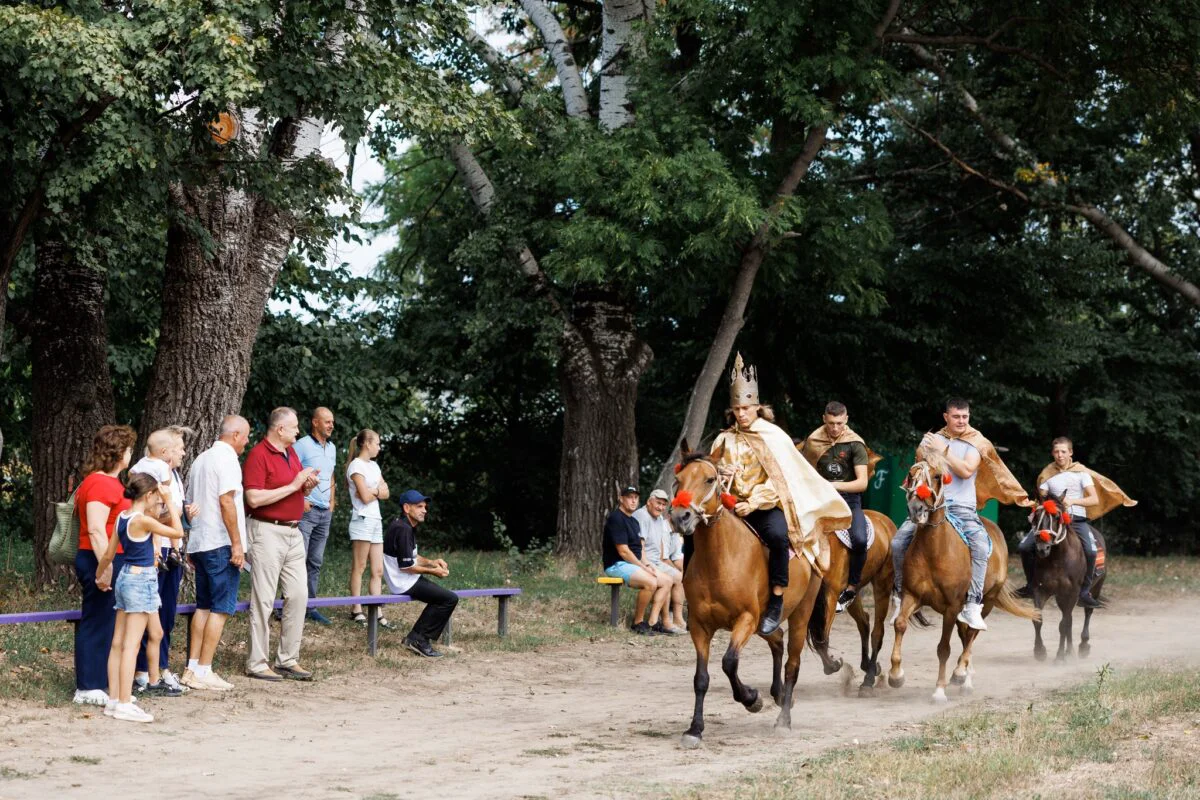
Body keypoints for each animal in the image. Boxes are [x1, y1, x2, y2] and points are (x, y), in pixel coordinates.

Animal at [667, 443, 825, 753]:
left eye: (709, 479)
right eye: (678, 480)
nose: (680, 517)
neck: (719, 560)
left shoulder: (746, 620)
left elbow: (729, 662)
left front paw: (752, 698)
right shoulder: (699, 627)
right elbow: (701, 678)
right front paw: (695, 729)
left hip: (800, 614)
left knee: (792, 664)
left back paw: (783, 719)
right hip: (765, 624)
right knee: (776, 640)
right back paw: (778, 695)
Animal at [806, 513, 902, 695]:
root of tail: (886, 521)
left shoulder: (830, 595)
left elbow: (821, 638)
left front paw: (833, 665)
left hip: (882, 584)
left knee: (877, 633)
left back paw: (868, 681)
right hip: (854, 591)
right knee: (864, 622)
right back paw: (869, 667)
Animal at [888, 462, 1036, 700]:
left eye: (937, 476)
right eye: (910, 476)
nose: (916, 509)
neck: (934, 550)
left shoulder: (952, 606)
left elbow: (943, 648)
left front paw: (940, 690)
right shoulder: (912, 595)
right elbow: (901, 624)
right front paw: (896, 675)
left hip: (986, 600)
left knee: (972, 634)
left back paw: (961, 675)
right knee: (966, 635)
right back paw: (964, 676)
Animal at [1027, 494, 1108, 662]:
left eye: (1057, 517)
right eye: (1036, 516)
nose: (1042, 548)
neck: (1057, 559)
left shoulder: (1072, 592)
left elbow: (1063, 625)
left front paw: (1059, 657)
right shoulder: (1040, 590)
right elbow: (1038, 619)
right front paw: (1040, 651)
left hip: (1095, 588)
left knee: (1087, 612)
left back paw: (1083, 646)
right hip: (1061, 596)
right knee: (1069, 618)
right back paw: (1069, 651)